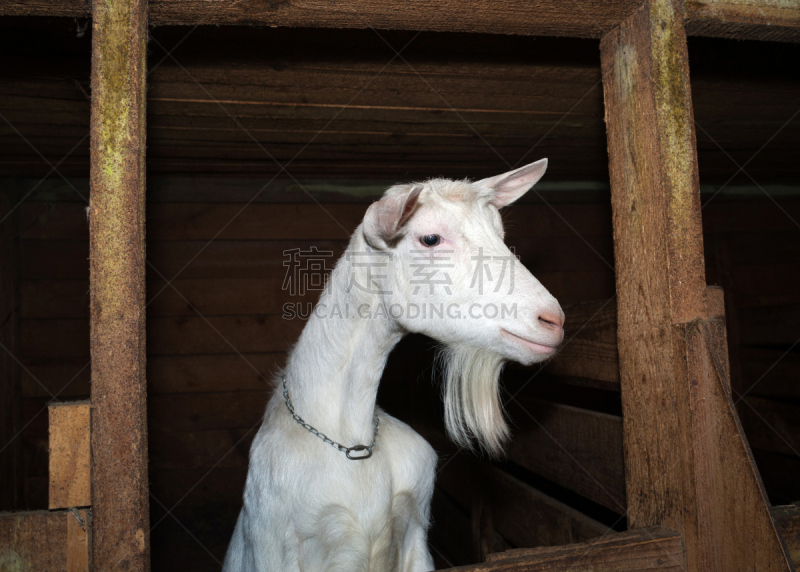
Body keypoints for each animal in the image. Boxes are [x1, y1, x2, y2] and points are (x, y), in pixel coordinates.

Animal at [222, 160, 564, 572]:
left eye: (499, 233)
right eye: (430, 239)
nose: (553, 321)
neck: (350, 439)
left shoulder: (416, 531)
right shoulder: (273, 542)